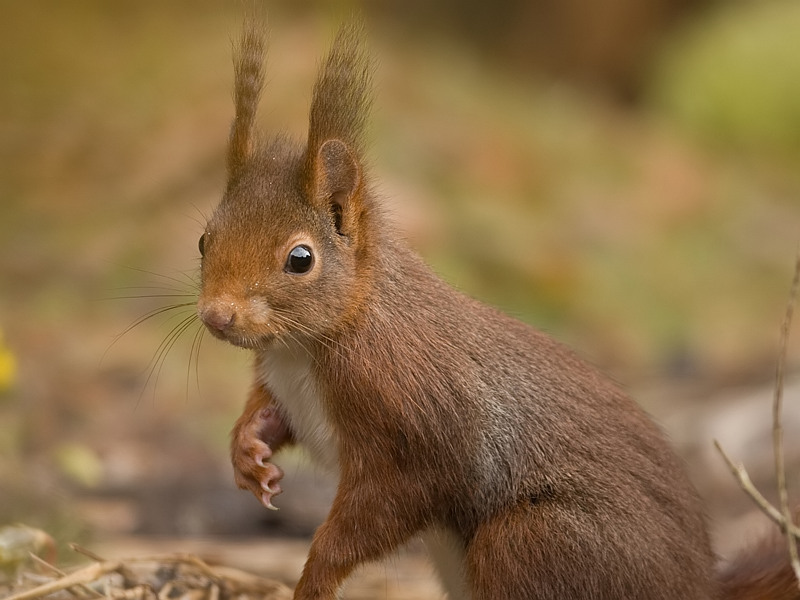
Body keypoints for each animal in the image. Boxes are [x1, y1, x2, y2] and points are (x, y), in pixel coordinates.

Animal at [195, 18, 800, 600]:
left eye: (300, 258)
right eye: (203, 240)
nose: (217, 316)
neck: (309, 346)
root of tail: (698, 587)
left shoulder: (417, 435)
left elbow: (379, 514)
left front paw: (315, 576)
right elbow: (267, 412)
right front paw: (248, 450)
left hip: (535, 540)